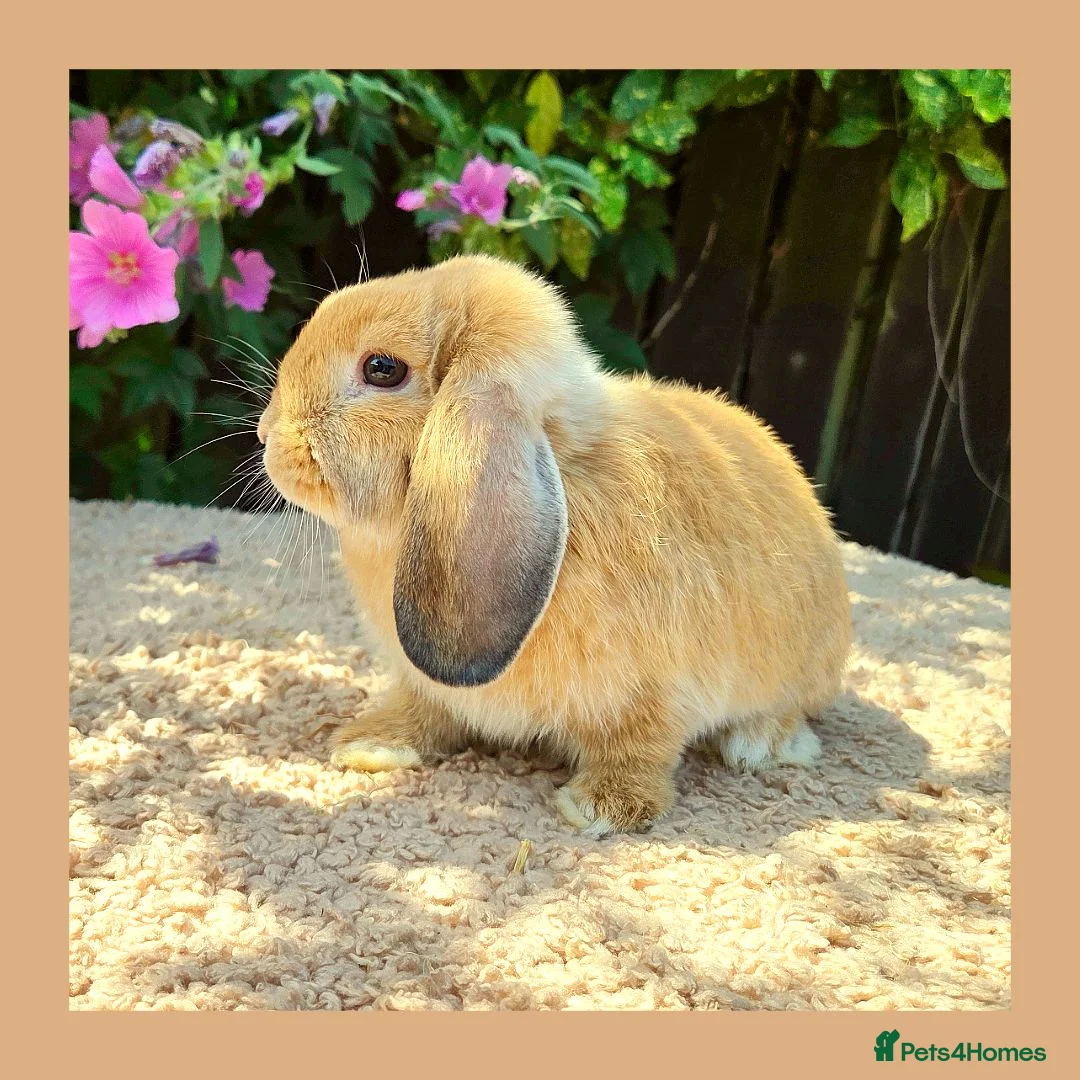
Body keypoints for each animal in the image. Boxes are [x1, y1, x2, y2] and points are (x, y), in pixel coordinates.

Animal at [257, 253, 851, 836]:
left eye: (383, 368)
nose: (267, 433)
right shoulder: (425, 684)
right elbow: (426, 710)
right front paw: (371, 745)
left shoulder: (661, 694)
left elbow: (642, 749)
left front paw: (602, 807)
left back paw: (763, 743)